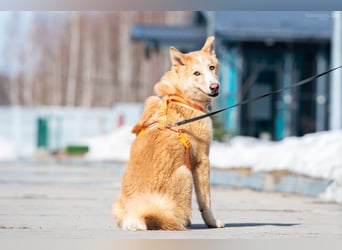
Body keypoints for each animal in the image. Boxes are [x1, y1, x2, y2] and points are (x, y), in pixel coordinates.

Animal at [113, 35, 224, 230]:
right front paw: (212, 223)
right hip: (185, 174)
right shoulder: (202, 160)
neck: (180, 97)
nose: (214, 86)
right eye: (197, 73)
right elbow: (206, 201)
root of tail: (135, 213)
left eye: (211, 67)